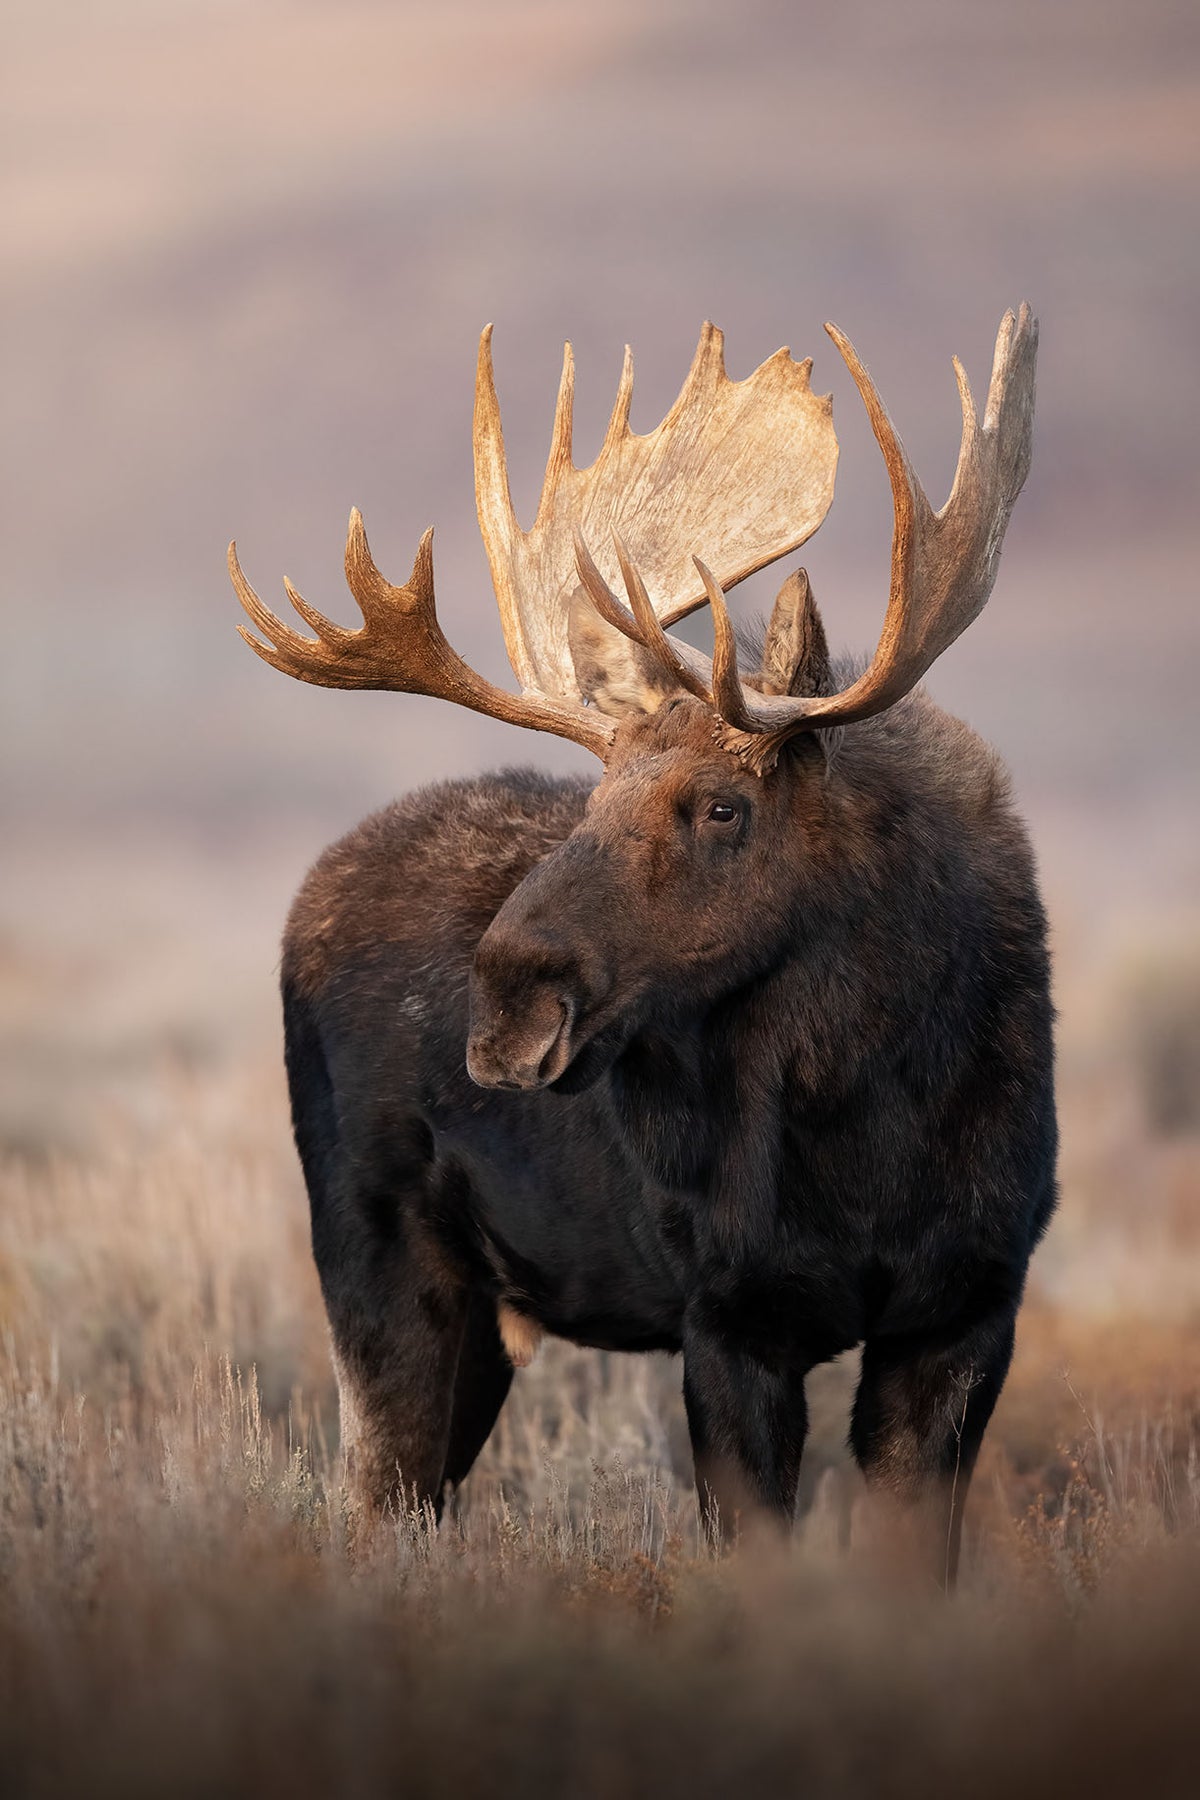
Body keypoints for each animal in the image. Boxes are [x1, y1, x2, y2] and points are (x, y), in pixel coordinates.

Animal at [230, 306, 1054, 1584]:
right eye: (594, 796)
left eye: (723, 806)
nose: (509, 1001)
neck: (875, 1121)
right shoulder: (729, 1318)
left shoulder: (967, 1307)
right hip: (377, 1256)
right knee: (375, 1501)